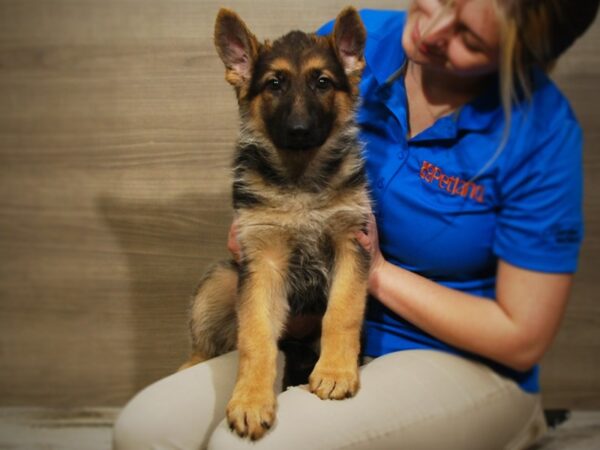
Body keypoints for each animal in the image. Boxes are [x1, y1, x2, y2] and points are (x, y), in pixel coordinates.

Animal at [182, 7, 370, 442]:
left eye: (322, 82)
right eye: (274, 84)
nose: (299, 130)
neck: (300, 179)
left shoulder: (351, 244)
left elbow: (342, 311)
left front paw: (336, 371)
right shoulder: (261, 260)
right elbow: (255, 336)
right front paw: (251, 400)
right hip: (221, 279)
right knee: (205, 343)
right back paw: (190, 365)